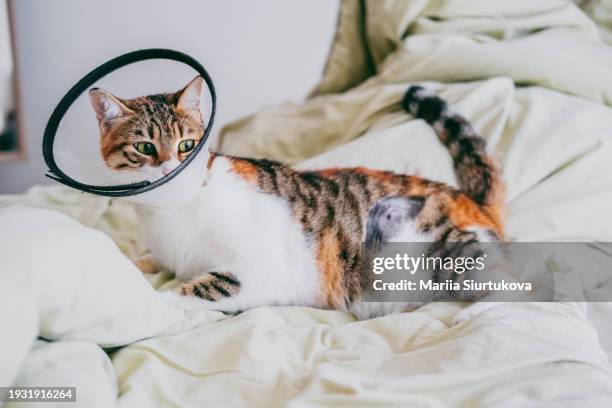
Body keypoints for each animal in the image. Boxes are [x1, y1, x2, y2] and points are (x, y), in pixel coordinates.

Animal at [89, 75, 502, 318]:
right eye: (144, 147)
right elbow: (147, 262)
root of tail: (472, 203)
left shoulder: (260, 269)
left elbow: (195, 290)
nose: (168, 169)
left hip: (449, 250)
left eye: (186, 146)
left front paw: (146, 305)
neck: (172, 214)